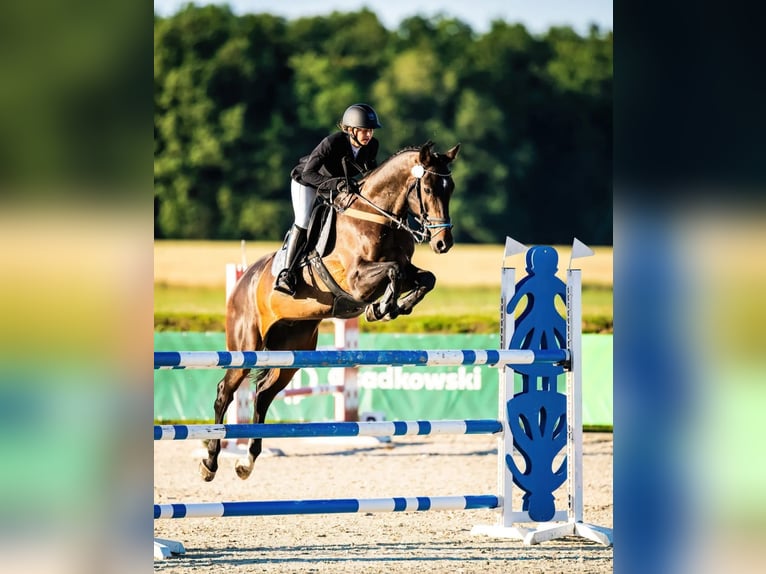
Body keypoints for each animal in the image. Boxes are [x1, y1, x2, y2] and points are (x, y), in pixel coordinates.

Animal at [200, 142, 462, 484]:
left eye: (451, 188)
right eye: (428, 188)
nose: (444, 243)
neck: (376, 217)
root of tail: (243, 280)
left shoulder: (405, 269)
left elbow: (423, 277)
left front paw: (396, 306)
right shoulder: (356, 280)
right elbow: (392, 272)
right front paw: (383, 308)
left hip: (292, 351)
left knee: (263, 395)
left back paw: (247, 462)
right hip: (246, 347)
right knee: (226, 392)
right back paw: (211, 462)